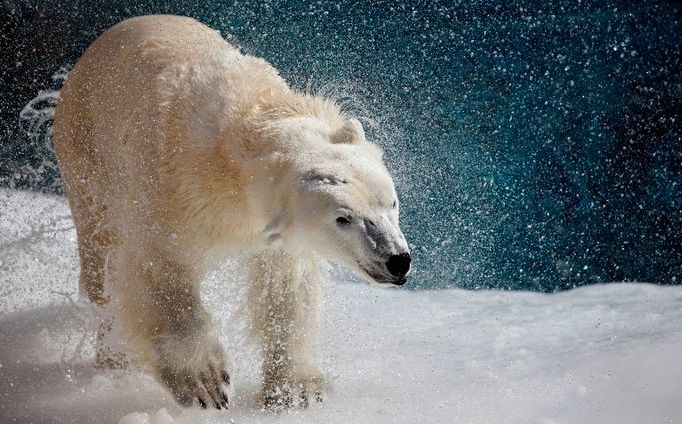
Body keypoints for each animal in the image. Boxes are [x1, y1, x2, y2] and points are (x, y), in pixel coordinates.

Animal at [54, 14, 410, 410]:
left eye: (391, 203)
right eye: (342, 219)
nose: (397, 261)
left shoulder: (273, 234)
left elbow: (285, 287)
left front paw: (297, 389)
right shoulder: (170, 191)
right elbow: (156, 269)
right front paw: (206, 382)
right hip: (87, 155)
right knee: (101, 262)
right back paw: (114, 358)